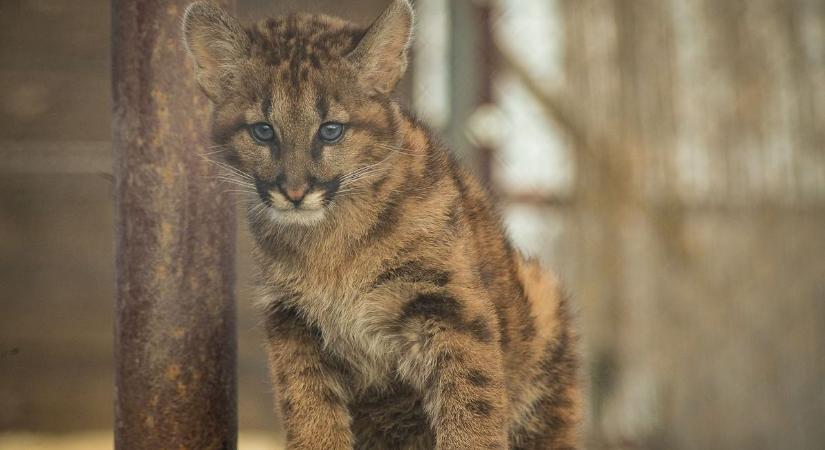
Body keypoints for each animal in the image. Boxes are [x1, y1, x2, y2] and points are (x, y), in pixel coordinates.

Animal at [182, 1, 580, 448]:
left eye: (331, 130)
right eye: (263, 131)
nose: (295, 191)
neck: (329, 243)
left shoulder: (450, 306)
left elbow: (471, 406)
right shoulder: (293, 323)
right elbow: (309, 412)